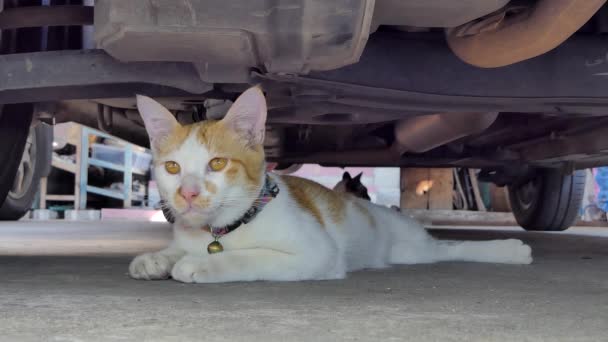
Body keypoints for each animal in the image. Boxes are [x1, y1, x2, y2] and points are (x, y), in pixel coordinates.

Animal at [129, 86, 532, 284]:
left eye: (217, 163)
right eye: (172, 167)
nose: (188, 193)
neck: (224, 228)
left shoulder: (316, 252)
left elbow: (249, 257)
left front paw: (201, 264)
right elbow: (177, 249)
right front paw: (158, 258)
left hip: (412, 247)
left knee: (451, 247)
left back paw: (510, 250)